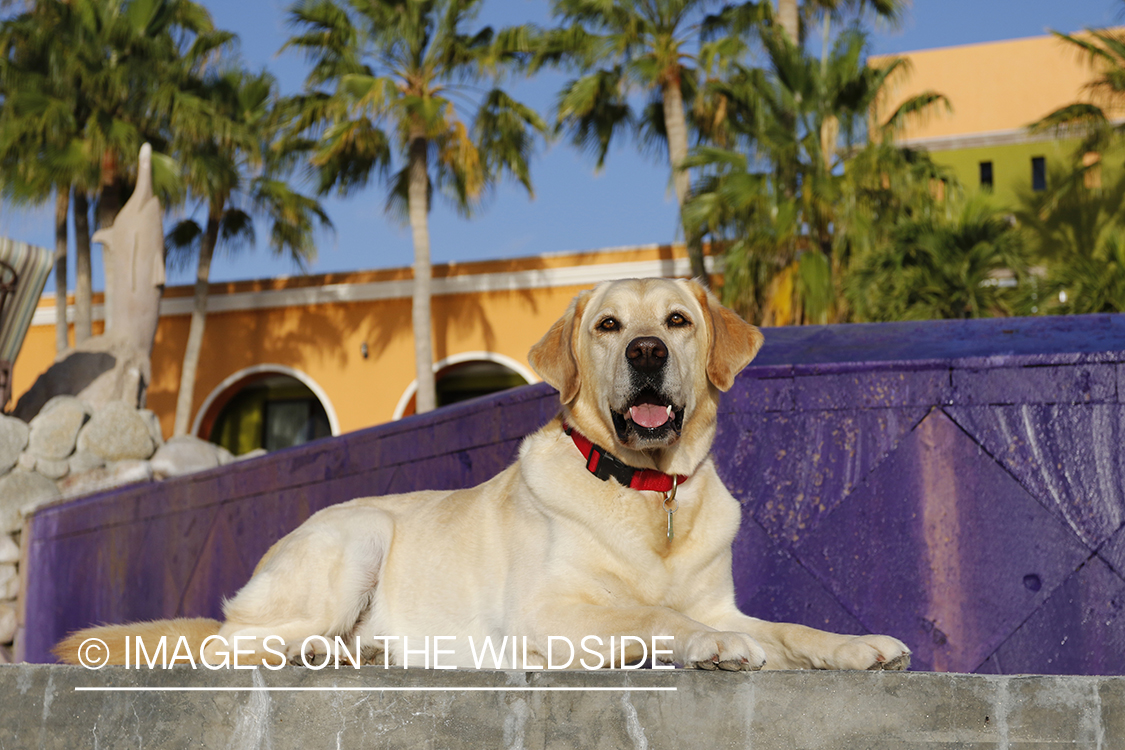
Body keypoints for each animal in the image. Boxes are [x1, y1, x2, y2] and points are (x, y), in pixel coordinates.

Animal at [57, 278, 909, 670]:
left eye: (676, 321)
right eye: (609, 326)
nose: (645, 352)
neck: (645, 491)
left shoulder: (718, 598)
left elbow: (783, 626)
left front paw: (853, 644)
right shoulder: (546, 612)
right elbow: (652, 618)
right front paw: (707, 646)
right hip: (355, 540)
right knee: (234, 646)